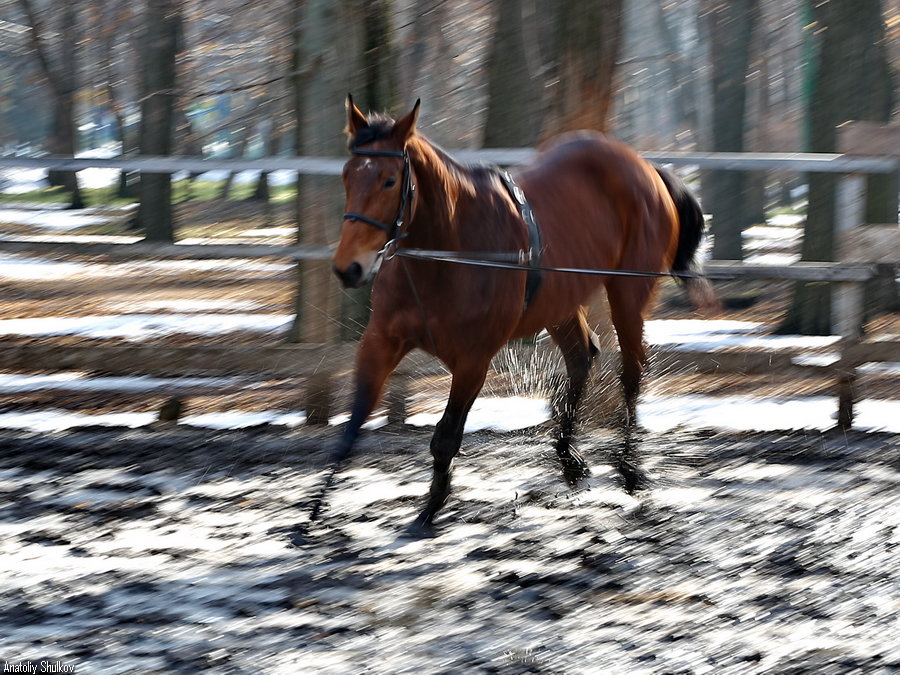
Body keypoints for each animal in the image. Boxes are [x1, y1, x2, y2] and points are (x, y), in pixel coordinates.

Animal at [328, 96, 712, 540]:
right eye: (347, 176)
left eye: (389, 181)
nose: (349, 268)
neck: (447, 251)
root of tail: (646, 167)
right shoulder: (381, 342)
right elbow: (353, 422)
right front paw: (315, 511)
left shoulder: (473, 360)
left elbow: (445, 437)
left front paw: (430, 509)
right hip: (560, 304)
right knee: (582, 357)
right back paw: (569, 459)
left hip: (628, 294)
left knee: (631, 371)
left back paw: (629, 468)